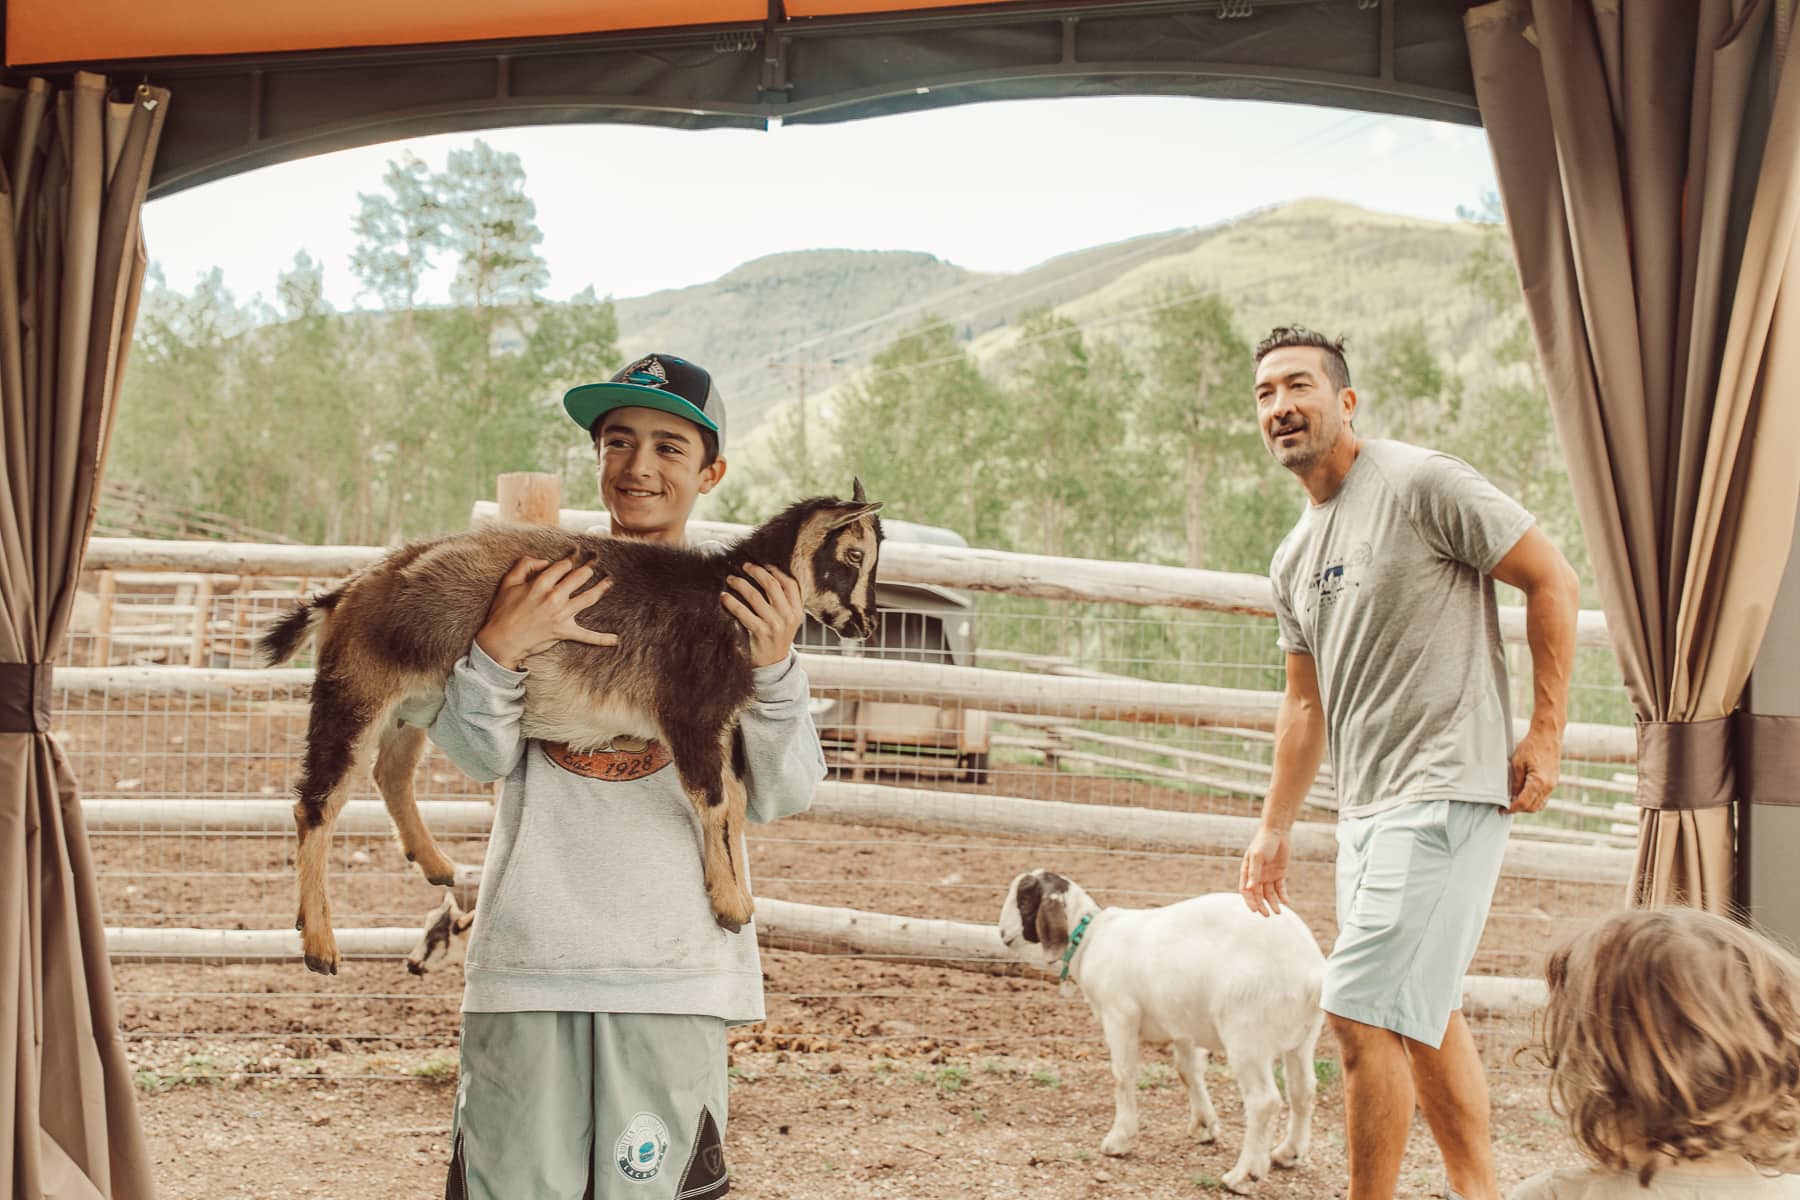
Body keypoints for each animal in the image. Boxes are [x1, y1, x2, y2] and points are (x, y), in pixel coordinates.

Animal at [262, 489, 885, 978]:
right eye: (854, 555)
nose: (866, 624)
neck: (723, 598)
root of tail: (349, 592)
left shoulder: (722, 724)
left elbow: (733, 802)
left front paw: (737, 895)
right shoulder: (688, 714)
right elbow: (712, 801)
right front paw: (730, 907)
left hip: (413, 704)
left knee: (390, 770)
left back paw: (434, 863)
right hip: (356, 689)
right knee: (318, 802)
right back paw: (319, 943)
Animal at [1000, 874, 1324, 1194]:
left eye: (1024, 899)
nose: (1003, 934)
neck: (1090, 938)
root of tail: (1311, 972)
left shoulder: (1120, 1015)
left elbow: (1123, 1075)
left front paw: (1119, 1140)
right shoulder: (1182, 1027)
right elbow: (1188, 1072)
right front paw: (1204, 1126)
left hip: (1247, 1032)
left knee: (1264, 1101)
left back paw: (1243, 1177)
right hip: (1303, 1037)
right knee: (1302, 1090)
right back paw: (1287, 1153)